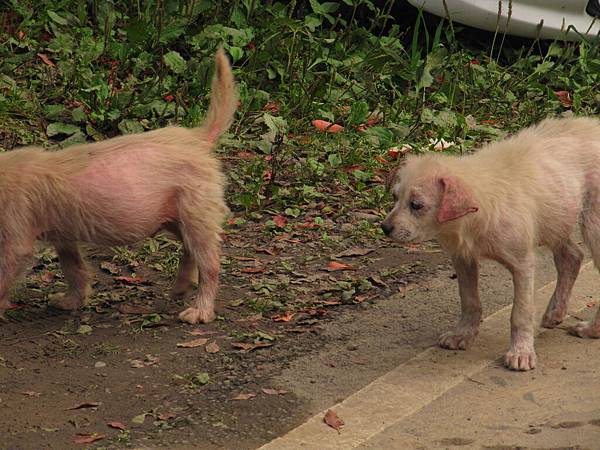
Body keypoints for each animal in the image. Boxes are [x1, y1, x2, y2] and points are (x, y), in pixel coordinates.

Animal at [0, 48, 238, 324]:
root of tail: (198, 138)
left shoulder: (17, 241)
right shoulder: (64, 234)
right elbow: (74, 269)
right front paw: (71, 302)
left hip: (196, 215)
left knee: (210, 264)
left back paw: (200, 311)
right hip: (176, 219)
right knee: (191, 252)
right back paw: (181, 287)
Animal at [382, 117, 600, 372]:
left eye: (416, 205)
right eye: (395, 198)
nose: (384, 228)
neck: (479, 202)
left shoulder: (523, 263)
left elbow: (520, 313)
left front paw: (521, 352)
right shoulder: (463, 258)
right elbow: (469, 300)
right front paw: (462, 334)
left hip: (591, 225)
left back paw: (591, 329)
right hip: (557, 218)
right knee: (572, 256)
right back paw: (555, 312)